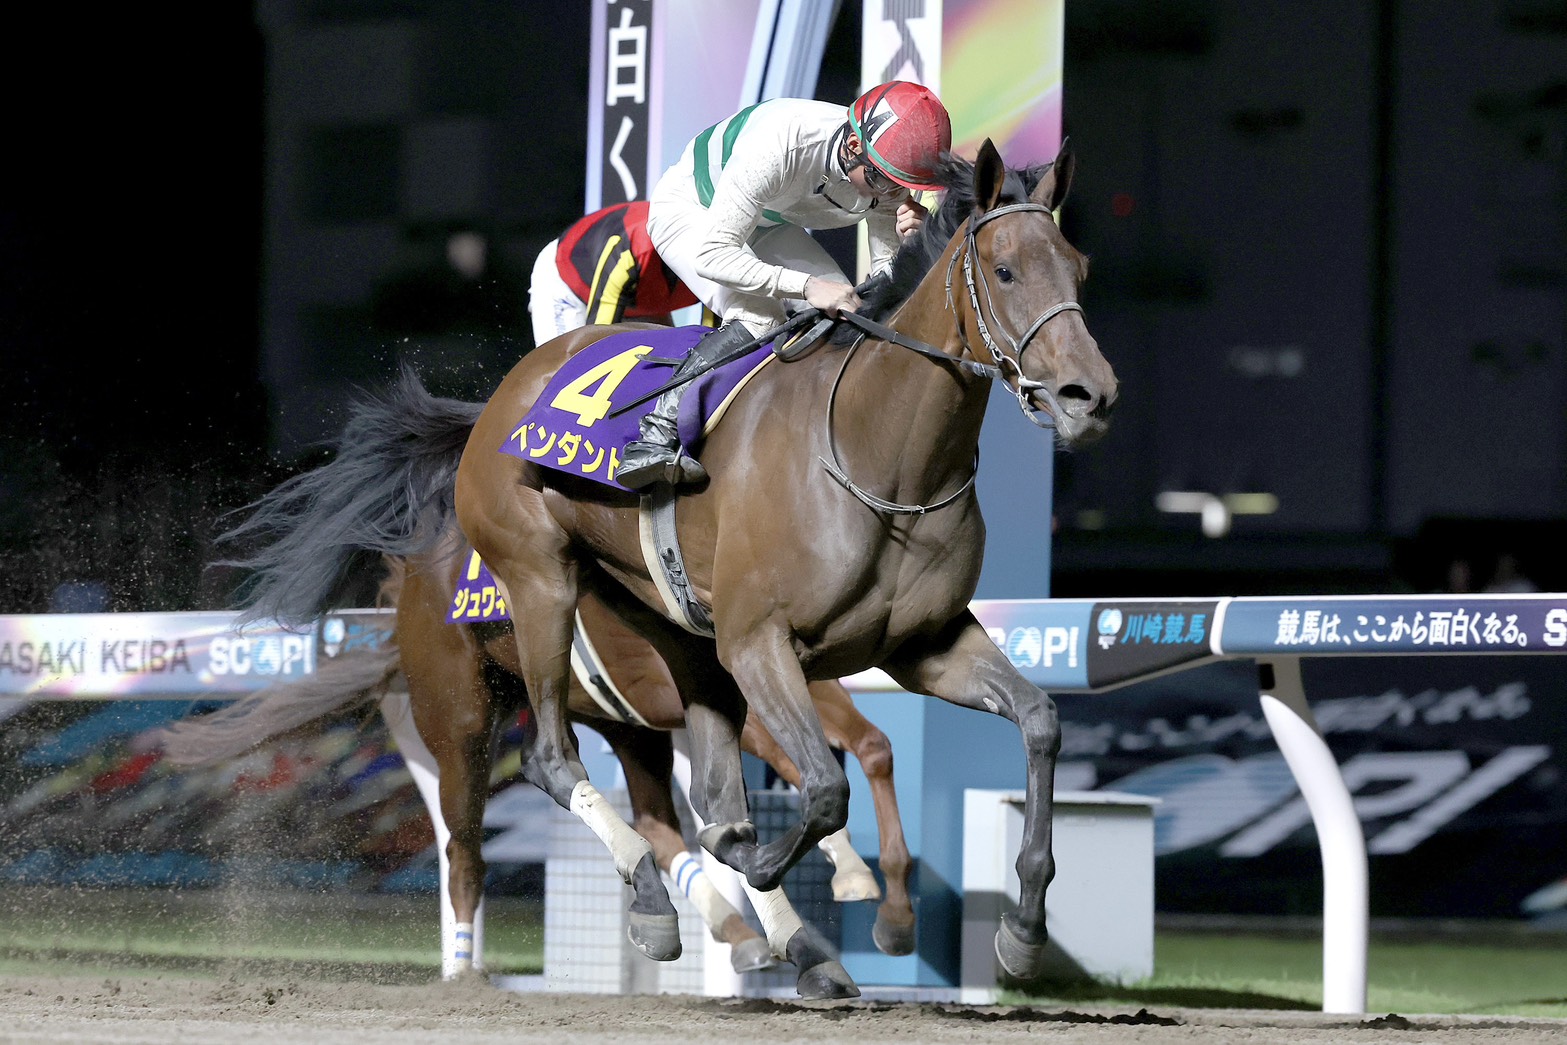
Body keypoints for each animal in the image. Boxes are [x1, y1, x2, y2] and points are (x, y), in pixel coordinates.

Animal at [221, 137, 1115, 992]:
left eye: (1078, 267)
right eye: (1004, 269)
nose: (1088, 395)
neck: (879, 454)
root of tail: (499, 401)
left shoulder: (920, 644)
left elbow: (1036, 721)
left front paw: (1020, 930)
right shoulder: (759, 644)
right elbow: (820, 791)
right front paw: (802, 883)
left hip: (664, 656)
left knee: (675, 800)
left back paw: (730, 925)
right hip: (502, 642)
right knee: (514, 795)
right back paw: (508, 955)